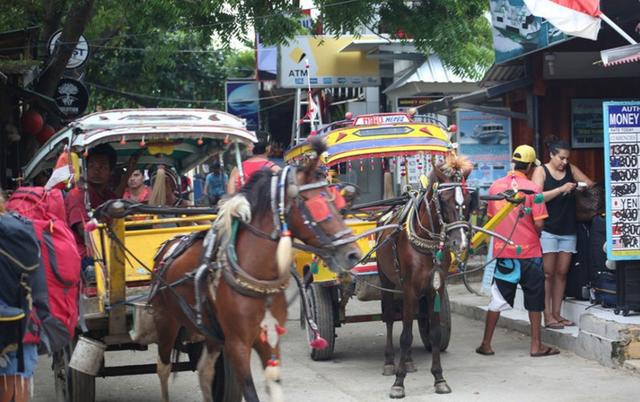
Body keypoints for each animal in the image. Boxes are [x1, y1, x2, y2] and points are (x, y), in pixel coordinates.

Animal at [149, 141, 360, 398]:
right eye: (318, 205)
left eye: (336, 201)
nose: (353, 253)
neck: (257, 276)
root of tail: (168, 245)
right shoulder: (237, 344)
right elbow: (250, 391)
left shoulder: (269, 339)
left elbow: (275, 385)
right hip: (165, 320)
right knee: (163, 367)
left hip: (210, 333)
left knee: (204, 370)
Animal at [376, 155, 476, 398]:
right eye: (445, 200)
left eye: (469, 200)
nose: (461, 243)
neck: (427, 244)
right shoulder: (410, 288)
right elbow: (404, 336)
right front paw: (398, 382)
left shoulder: (434, 289)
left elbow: (435, 333)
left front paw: (439, 378)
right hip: (387, 279)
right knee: (390, 319)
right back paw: (389, 362)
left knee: (408, 319)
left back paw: (409, 361)